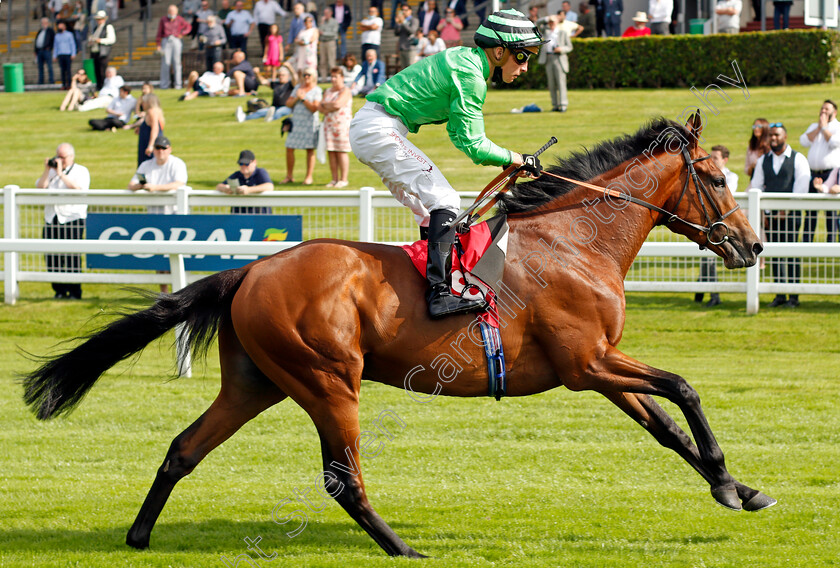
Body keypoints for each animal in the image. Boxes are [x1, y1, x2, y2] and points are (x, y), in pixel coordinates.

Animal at [23, 113, 776, 556]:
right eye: (716, 177)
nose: (753, 245)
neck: (574, 239)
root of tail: (251, 269)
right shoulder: (588, 362)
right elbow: (685, 388)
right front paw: (727, 482)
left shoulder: (598, 365)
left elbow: (667, 426)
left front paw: (738, 488)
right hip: (327, 380)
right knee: (342, 479)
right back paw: (400, 548)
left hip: (256, 382)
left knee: (183, 449)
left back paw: (139, 534)